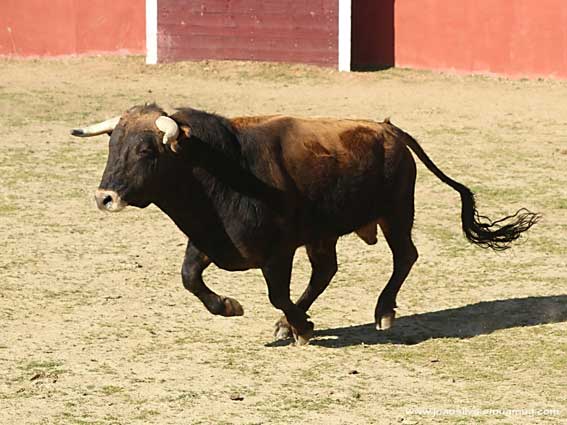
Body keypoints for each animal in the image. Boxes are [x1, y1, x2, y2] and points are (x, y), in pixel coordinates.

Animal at [72, 105, 540, 344]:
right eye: (113, 146)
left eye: (146, 150)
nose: (104, 197)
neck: (219, 168)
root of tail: (388, 129)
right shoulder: (209, 239)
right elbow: (189, 278)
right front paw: (232, 307)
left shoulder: (277, 252)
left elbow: (276, 293)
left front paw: (301, 327)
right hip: (324, 234)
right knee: (326, 271)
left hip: (396, 213)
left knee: (405, 256)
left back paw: (383, 311)